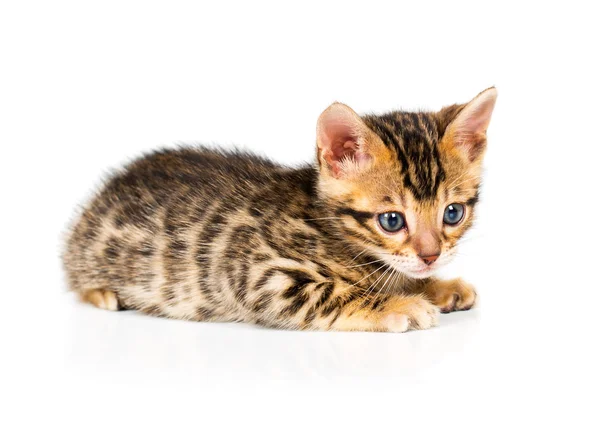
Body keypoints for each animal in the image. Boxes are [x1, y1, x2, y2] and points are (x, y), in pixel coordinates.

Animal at [62, 88, 496, 332]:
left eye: (452, 213)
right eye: (391, 221)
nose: (431, 256)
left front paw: (437, 286)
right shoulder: (260, 275)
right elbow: (337, 293)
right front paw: (402, 303)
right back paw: (102, 293)